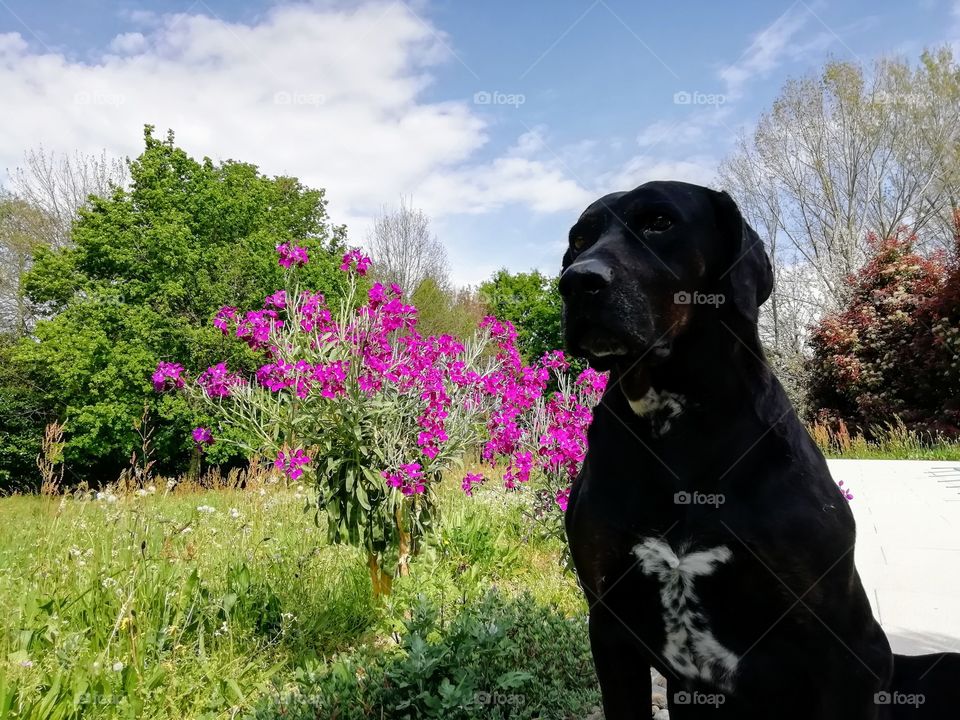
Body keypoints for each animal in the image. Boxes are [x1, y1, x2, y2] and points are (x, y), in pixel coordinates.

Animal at [560, 177, 956, 716]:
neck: (678, 425)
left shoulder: (845, 645)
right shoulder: (609, 625)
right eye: (579, 239)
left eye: (659, 222)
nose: (576, 282)